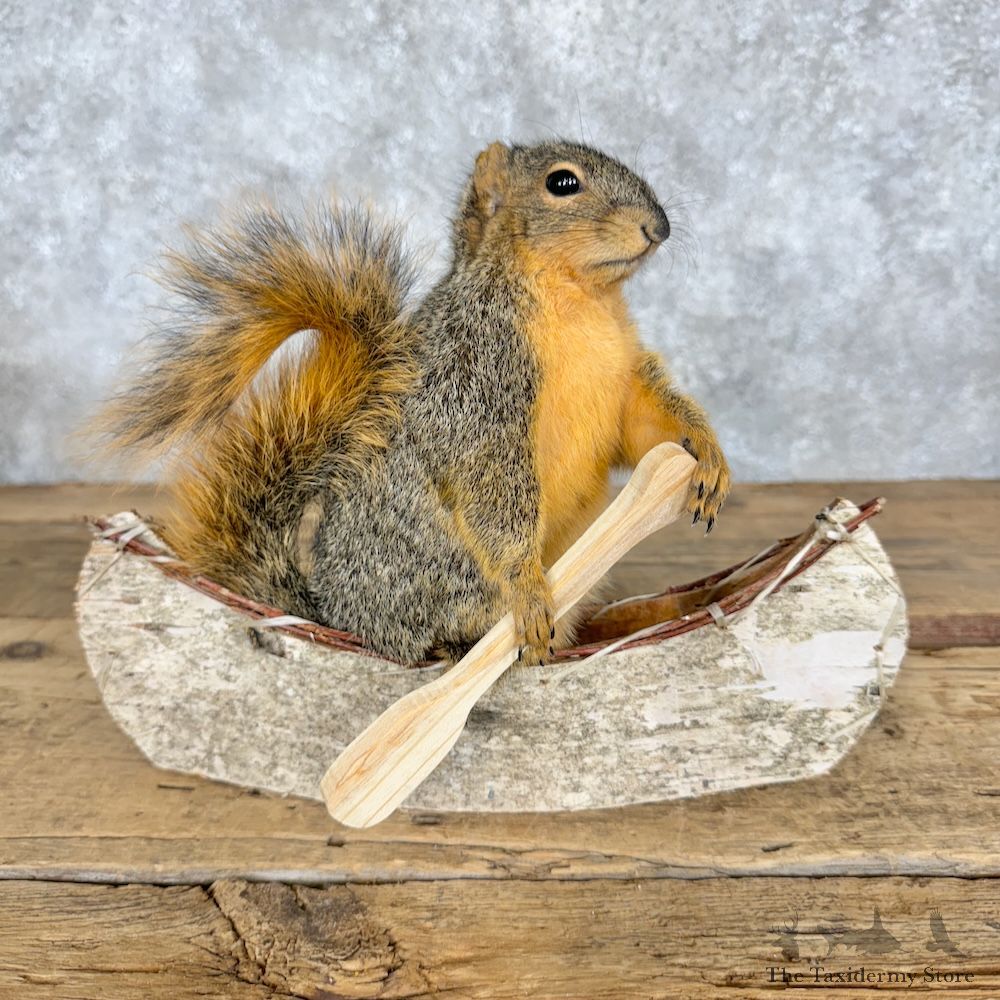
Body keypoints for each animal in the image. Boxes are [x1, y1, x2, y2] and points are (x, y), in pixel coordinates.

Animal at [98, 139, 730, 666]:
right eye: (562, 183)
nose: (659, 226)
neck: (583, 300)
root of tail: (343, 619)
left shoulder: (624, 381)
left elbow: (647, 429)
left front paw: (708, 457)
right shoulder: (477, 385)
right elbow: (493, 487)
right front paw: (527, 585)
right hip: (448, 575)